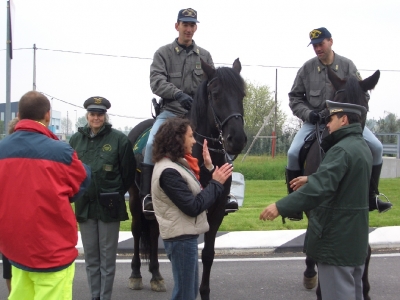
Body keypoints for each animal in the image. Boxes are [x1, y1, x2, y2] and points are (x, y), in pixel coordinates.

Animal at [128, 58, 247, 300]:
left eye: (242, 94)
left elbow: (208, 254)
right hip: (135, 199)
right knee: (136, 230)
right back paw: (136, 274)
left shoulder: (217, 210)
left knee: (153, 232)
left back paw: (156, 275)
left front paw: (204, 292)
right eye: (215, 94)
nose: (237, 139)